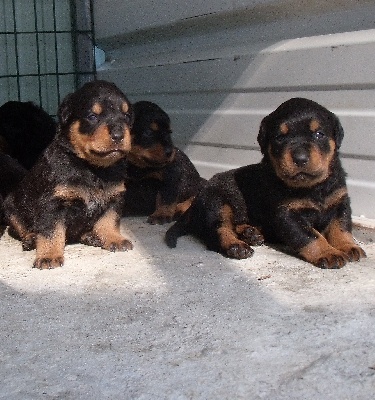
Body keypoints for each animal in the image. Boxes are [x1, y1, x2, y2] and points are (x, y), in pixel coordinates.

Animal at [4, 79, 134, 268]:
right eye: (92, 116)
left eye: (126, 116)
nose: (118, 135)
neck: (92, 168)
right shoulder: (52, 202)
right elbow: (51, 232)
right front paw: (48, 256)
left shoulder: (115, 197)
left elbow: (110, 220)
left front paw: (114, 239)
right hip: (11, 206)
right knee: (19, 227)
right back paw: (32, 238)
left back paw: (91, 235)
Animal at [167, 97, 368, 268]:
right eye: (279, 137)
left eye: (319, 134)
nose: (300, 158)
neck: (313, 187)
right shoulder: (286, 214)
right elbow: (309, 234)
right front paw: (328, 252)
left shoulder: (340, 202)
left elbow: (341, 227)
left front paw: (349, 247)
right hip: (217, 201)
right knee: (217, 229)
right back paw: (236, 246)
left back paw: (251, 233)